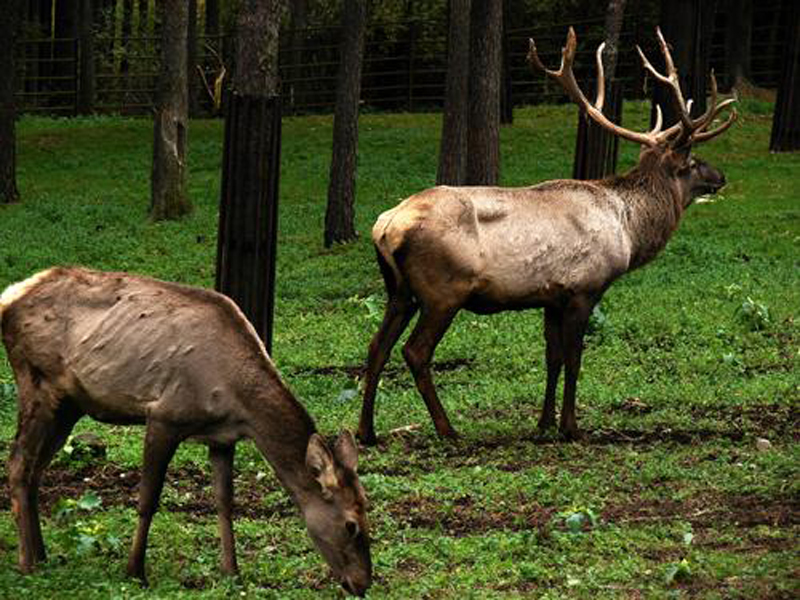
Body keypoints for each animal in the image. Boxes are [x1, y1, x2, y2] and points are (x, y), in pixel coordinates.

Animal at [0, 267, 372, 596]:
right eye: (350, 525)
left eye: (367, 509)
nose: (363, 583)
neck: (238, 403)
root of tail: (9, 296)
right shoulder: (164, 416)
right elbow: (148, 500)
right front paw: (135, 570)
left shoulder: (222, 439)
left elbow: (225, 502)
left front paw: (231, 571)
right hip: (36, 381)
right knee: (18, 462)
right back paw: (27, 562)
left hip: (69, 404)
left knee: (35, 470)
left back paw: (42, 554)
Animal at [356, 28, 737, 445]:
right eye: (694, 161)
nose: (721, 176)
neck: (628, 231)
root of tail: (386, 226)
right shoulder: (585, 288)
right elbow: (574, 359)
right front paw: (571, 426)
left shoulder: (551, 297)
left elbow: (552, 358)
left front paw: (543, 423)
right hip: (443, 291)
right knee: (415, 351)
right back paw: (447, 428)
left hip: (399, 291)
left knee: (376, 347)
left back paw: (366, 431)